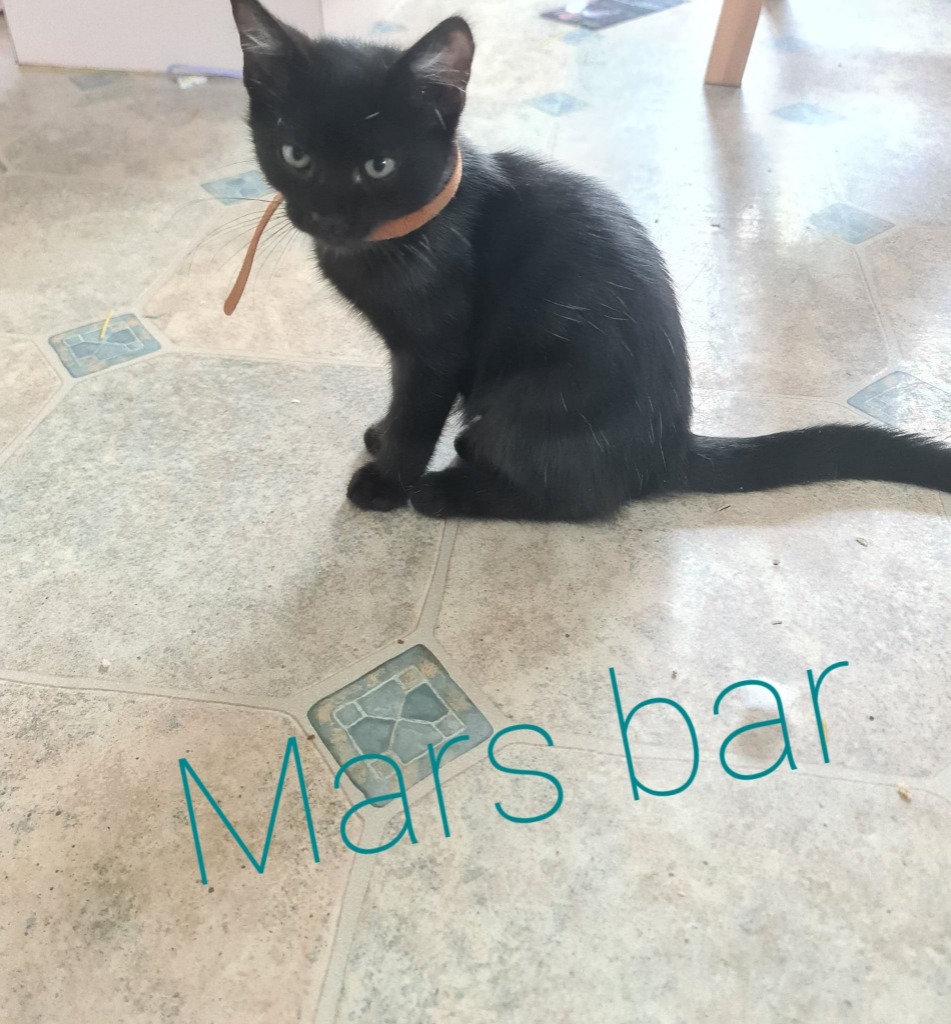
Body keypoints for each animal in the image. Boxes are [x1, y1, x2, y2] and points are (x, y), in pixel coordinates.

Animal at [229, 0, 951, 521]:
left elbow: (417, 415)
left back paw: (452, 492)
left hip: (531, 396)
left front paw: (387, 482)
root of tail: (668, 447)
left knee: (576, 501)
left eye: (379, 166)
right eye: (295, 155)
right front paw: (382, 435)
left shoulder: (435, 352)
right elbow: (398, 404)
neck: (402, 232)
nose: (326, 216)